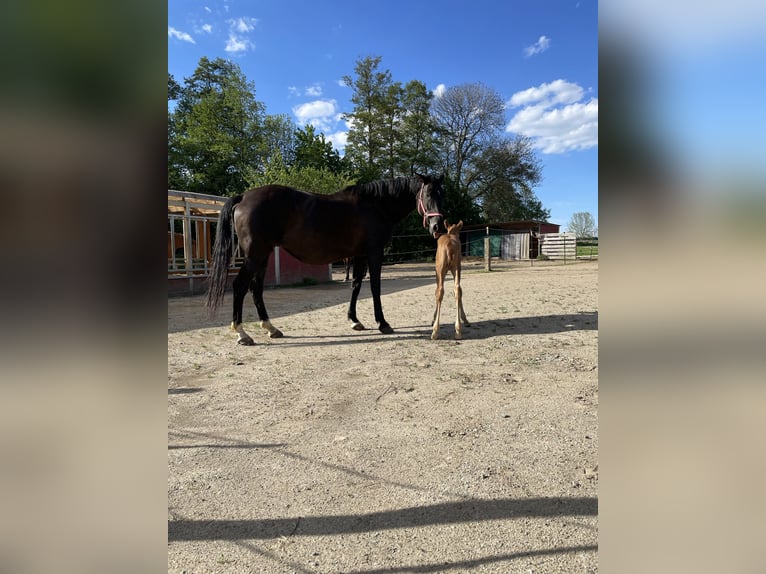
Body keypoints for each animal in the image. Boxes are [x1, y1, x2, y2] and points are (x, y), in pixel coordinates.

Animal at [206, 174, 444, 346]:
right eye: (427, 194)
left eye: (441, 194)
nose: (437, 227)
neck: (376, 206)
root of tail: (244, 197)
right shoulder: (374, 253)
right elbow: (375, 286)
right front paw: (382, 323)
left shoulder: (359, 255)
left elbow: (356, 285)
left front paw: (354, 320)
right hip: (255, 255)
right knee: (240, 286)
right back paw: (242, 334)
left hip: (263, 256)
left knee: (256, 289)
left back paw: (271, 328)